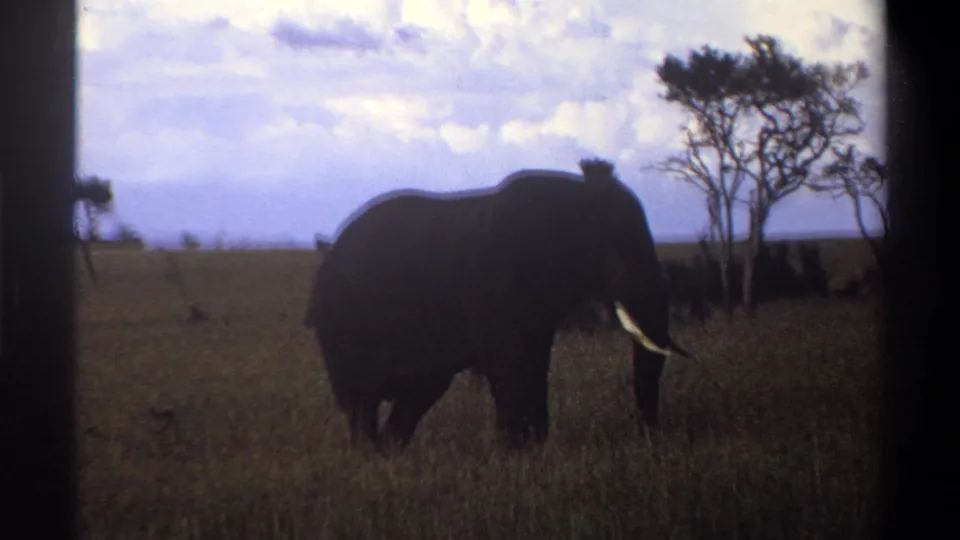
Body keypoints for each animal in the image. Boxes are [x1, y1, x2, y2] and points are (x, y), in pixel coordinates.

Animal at [303, 158, 692, 450]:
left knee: (417, 392)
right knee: (361, 397)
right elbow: (509, 363)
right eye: (615, 246)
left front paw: (534, 448)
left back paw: (390, 453)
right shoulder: (496, 281)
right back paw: (370, 455)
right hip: (342, 322)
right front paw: (513, 452)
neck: (572, 196)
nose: (649, 437)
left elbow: (535, 362)